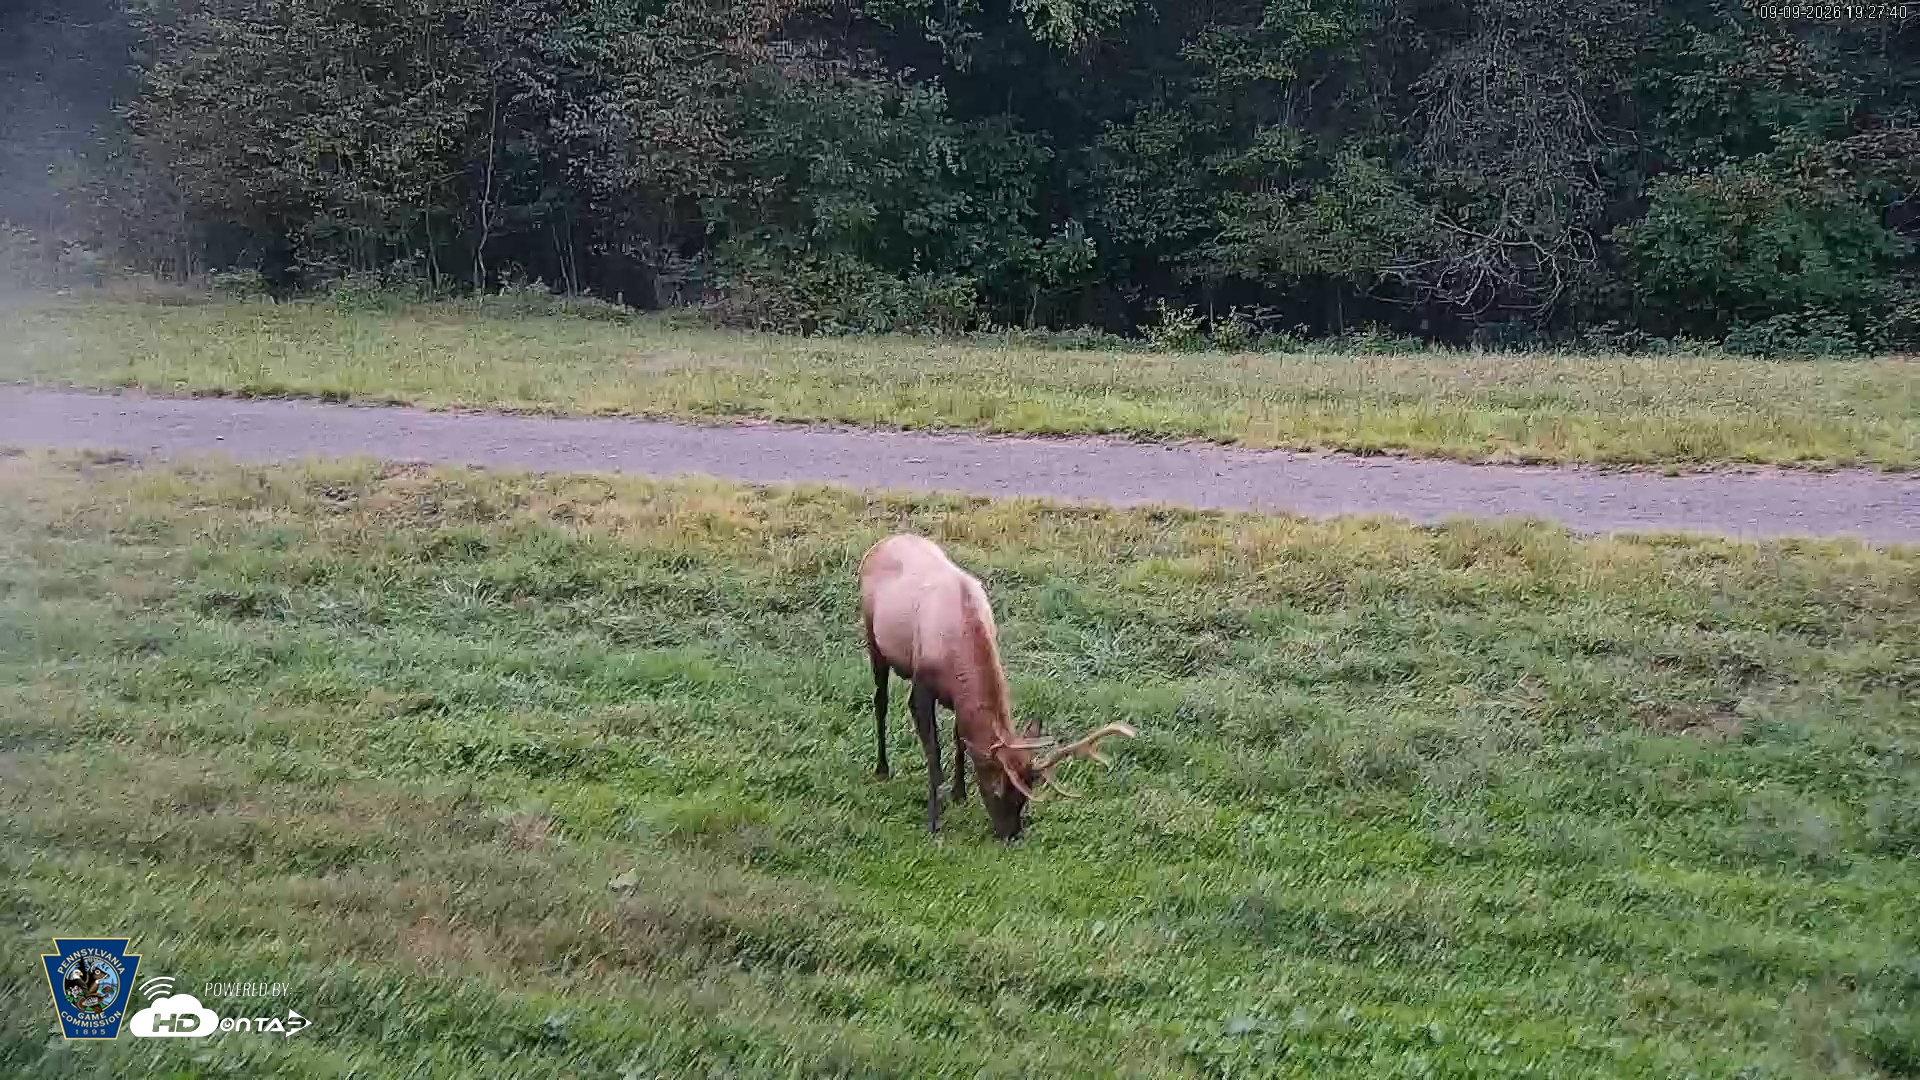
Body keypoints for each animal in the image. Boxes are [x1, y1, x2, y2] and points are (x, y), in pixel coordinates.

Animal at [859, 533, 1137, 840]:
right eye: (998, 791)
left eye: (1026, 796)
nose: (1013, 835)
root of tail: (880, 544)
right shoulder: (922, 684)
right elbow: (933, 754)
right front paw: (934, 820)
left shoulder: (958, 698)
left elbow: (961, 739)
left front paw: (959, 793)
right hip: (873, 638)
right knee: (880, 701)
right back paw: (881, 768)